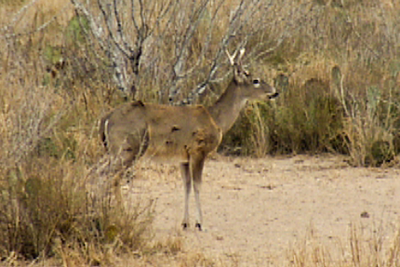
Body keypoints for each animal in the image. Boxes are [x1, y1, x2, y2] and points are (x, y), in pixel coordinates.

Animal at [98, 48, 278, 232]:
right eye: (256, 80)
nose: (275, 92)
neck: (216, 119)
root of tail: (107, 118)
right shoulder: (198, 150)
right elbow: (198, 185)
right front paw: (200, 223)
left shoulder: (183, 157)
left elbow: (187, 185)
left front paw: (185, 222)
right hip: (128, 148)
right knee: (111, 177)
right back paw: (117, 214)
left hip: (113, 150)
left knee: (100, 172)